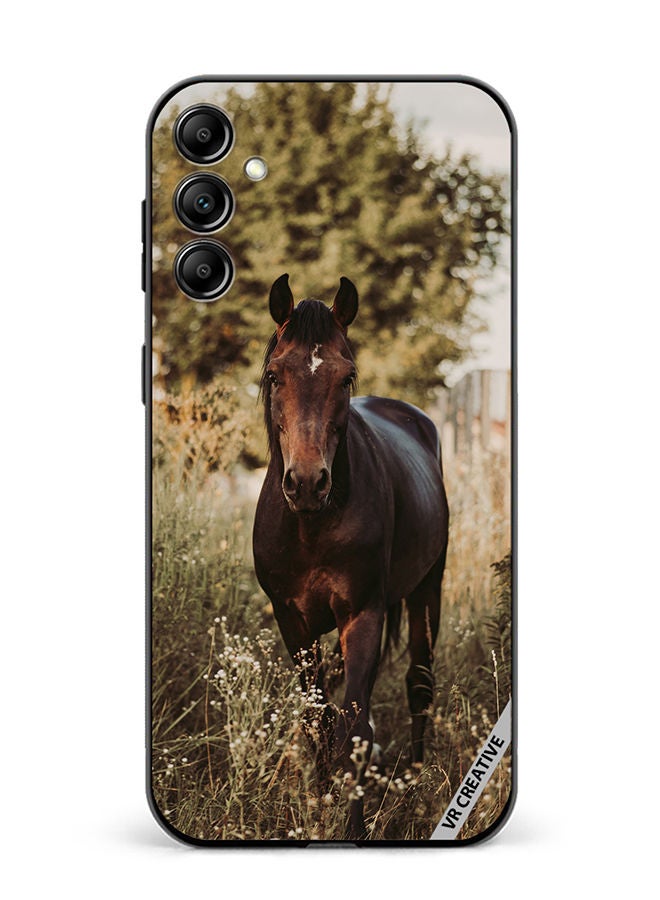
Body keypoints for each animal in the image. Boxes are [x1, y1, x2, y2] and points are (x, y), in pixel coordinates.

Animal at [252, 273, 449, 839]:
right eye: (274, 375)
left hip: (428, 590)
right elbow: (316, 720)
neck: (312, 524)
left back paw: (415, 781)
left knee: (419, 684)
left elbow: (356, 727)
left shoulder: (363, 615)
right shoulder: (292, 622)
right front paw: (319, 806)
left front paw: (354, 828)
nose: (307, 483)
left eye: (346, 378)